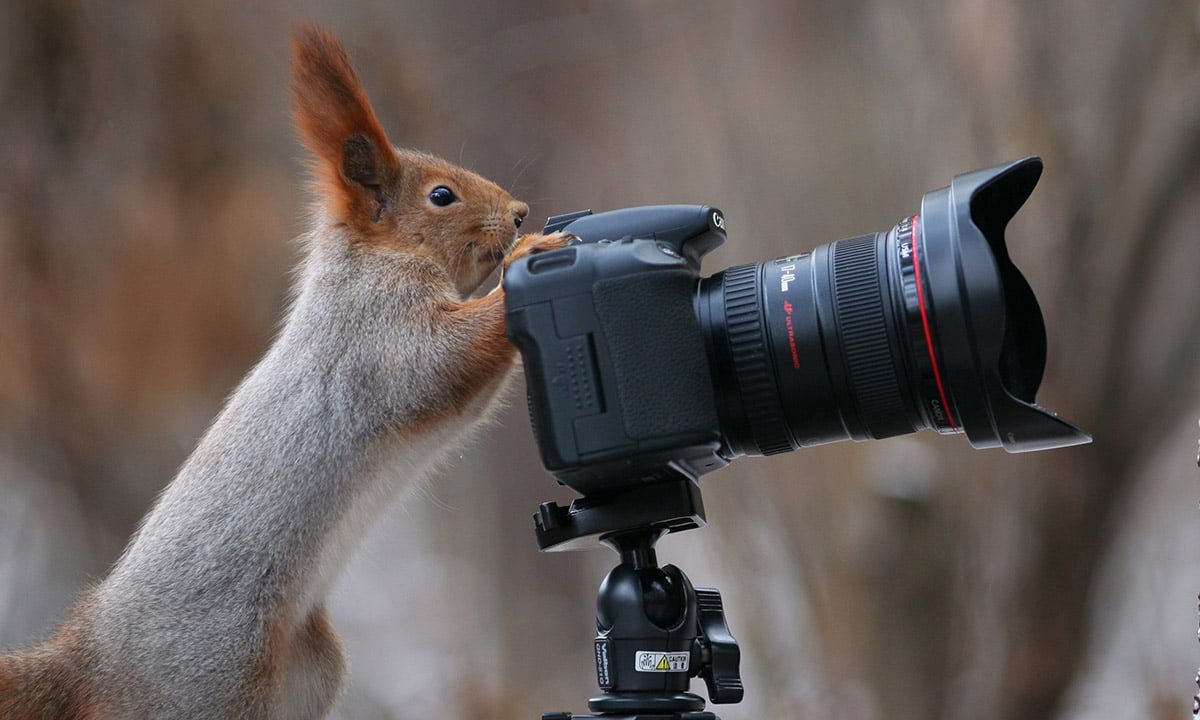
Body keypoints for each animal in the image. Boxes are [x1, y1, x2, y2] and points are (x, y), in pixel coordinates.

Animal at [0, 25, 568, 720]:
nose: (519, 213)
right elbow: (442, 359)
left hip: (309, 672)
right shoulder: (376, 333)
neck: (369, 262)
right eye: (441, 196)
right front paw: (534, 253)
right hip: (208, 687)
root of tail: (94, 658)